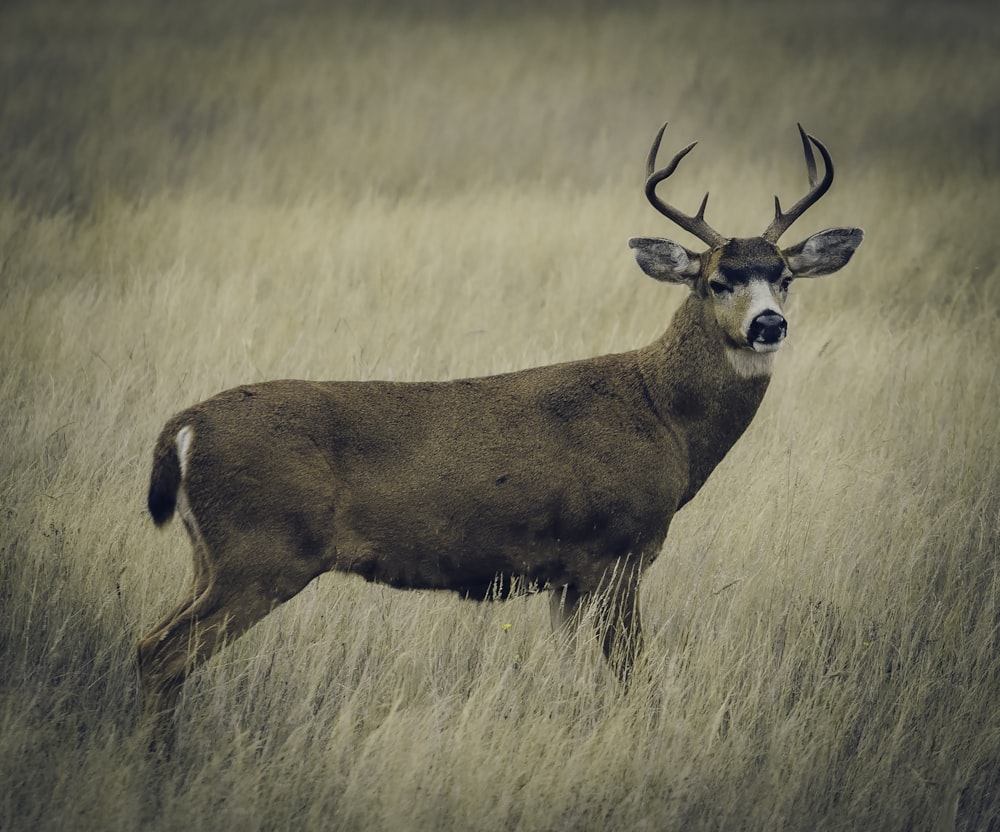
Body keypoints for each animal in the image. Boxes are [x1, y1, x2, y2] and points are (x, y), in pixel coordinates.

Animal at [137, 122, 864, 740]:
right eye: (716, 280)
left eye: (785, 277)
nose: (768, 324)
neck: (662, 415)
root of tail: (183, 428)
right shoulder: (619, 549)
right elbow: (633, 676)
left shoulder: (568, 574)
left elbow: (576, 679)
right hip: (262, 551)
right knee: (165, 655)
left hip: (212, 556)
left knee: (148, 645)